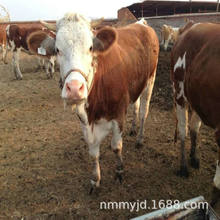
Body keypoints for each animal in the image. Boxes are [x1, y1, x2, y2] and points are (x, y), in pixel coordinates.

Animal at [27, 13, 159, 192]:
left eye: (90, 48)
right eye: (57, 50)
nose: (74, 88)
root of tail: (141, 23)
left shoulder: (118, 114)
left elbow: (116, 147)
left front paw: (119, 171)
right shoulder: (85, 121)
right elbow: (93, 152)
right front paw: (95, 180)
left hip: (150, 80)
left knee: (144, 111)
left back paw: (139, 139)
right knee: (136, 105)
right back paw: (133, 129)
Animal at [170, 21, 220, 205]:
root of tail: (192, 25)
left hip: (197, 98)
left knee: (194, 128)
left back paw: (194, 156)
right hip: (179, 93)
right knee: (183, 130)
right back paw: (184, 166)